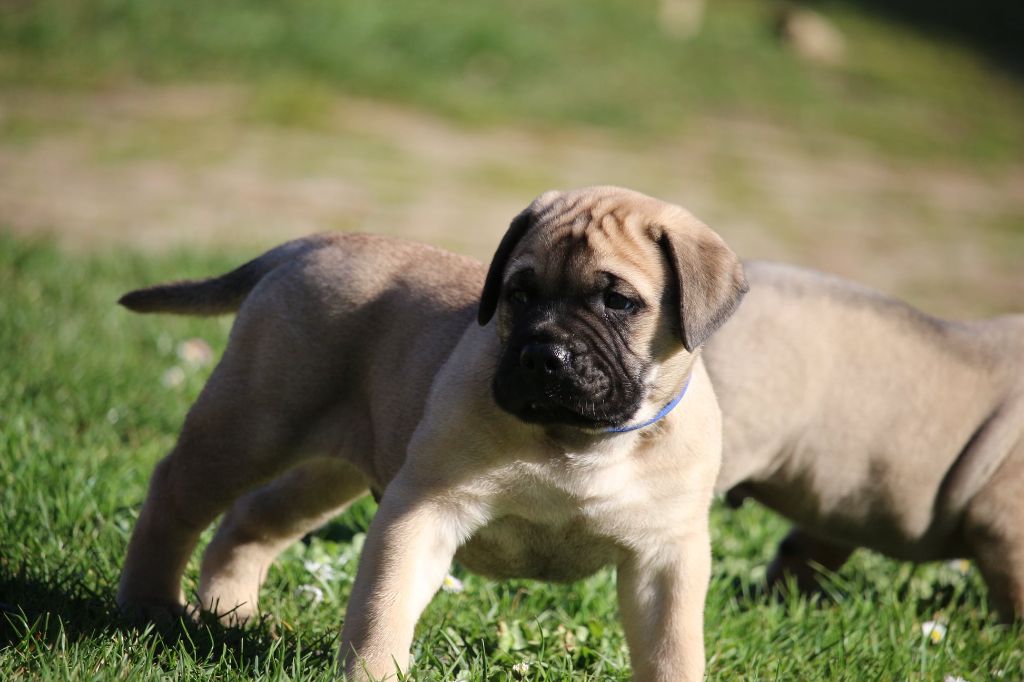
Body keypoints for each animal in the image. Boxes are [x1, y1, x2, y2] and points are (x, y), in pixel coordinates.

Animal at [115, 186, 748, 681]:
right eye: (520, 294)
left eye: (618, 301)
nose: (543, 356)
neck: (579, 441)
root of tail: (314, 243)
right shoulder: (422, 510)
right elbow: (383, 611)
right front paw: (372, 674)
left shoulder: (666, 557)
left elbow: (672, 651)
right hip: (251, 426)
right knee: (174, 494)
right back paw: (149, 605)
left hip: (326, 471)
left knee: (252, 519)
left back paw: (231, 610)